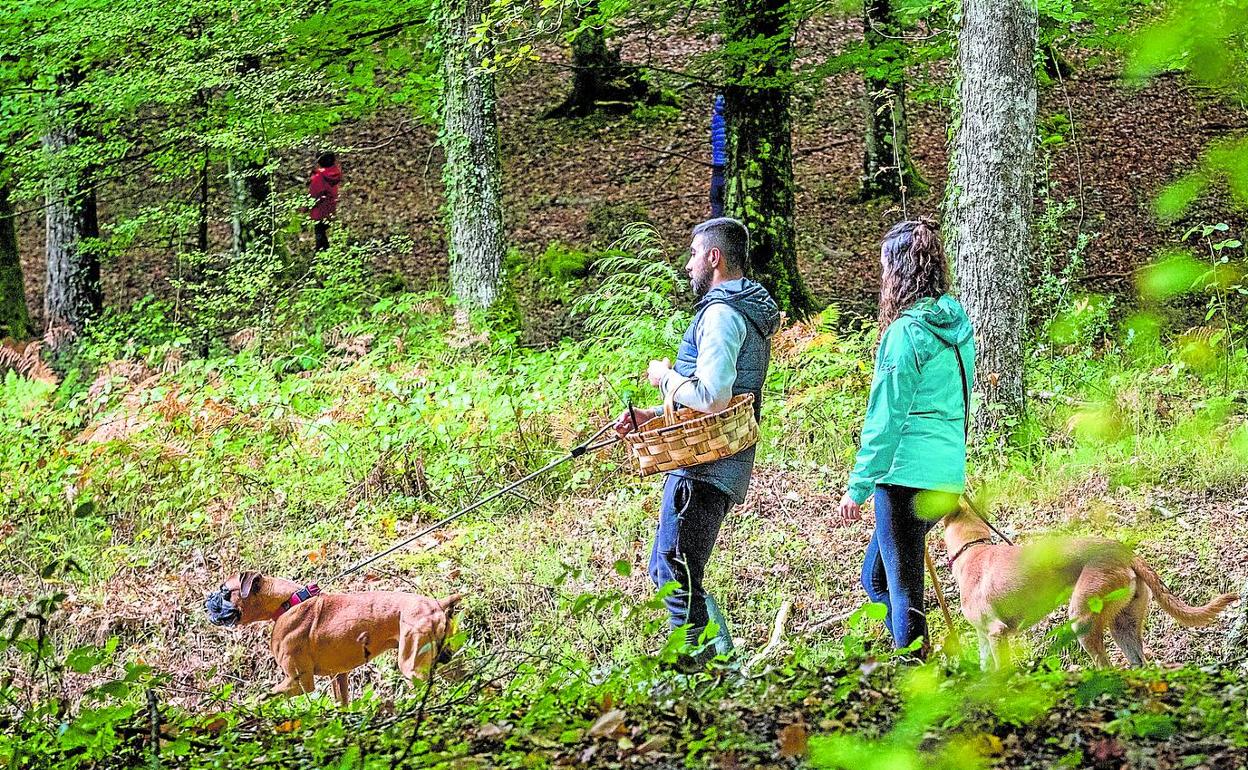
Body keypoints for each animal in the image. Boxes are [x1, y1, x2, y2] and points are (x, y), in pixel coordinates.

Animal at [207, 571, 461, 703]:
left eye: (224, 591)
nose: (207, 599)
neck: (288, 602)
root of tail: (437, 604)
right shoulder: (338, 677)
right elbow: (342, 705)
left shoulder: (299, 682)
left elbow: (263, 697)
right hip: (445, 660)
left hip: (412, 667)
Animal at [943, 504, 1238, 668]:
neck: (973, 548)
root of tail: (1124, 552)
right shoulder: (984, 638)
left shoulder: (996, 633)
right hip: (1123, 625)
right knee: (1139, 664)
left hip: (1082, 619)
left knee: (1105, 667)